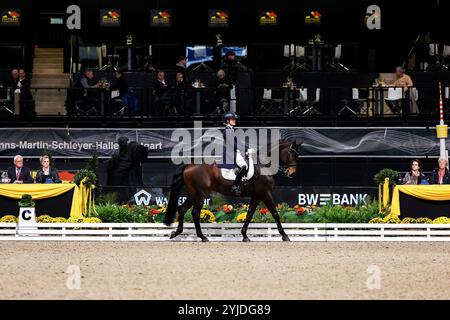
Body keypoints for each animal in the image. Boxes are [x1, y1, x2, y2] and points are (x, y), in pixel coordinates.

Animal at [163, 139, 300, 241]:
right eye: (292, 154)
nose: (292, 173)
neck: (264, 166)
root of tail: (189, 164)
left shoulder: (256, 196)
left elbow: (249, 214)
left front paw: (244, 236)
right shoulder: (265, 193)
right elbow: (275, 213)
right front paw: (285, 236)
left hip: (193, 194)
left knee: (182, 209)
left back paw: (176, 233)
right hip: (201, 194)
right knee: (195, 213)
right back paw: (202, 237)